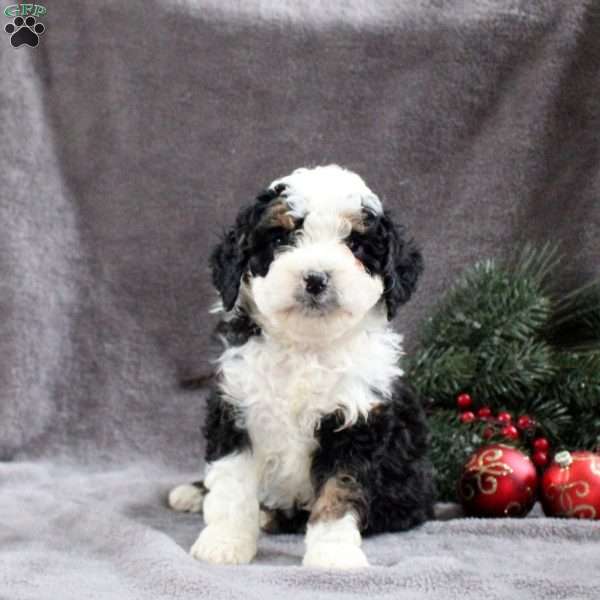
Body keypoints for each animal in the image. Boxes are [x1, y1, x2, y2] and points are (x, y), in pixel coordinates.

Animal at [168, 166, 432, 568]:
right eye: (280, 238)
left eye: (355, 245)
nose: (316, 278)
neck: (306, 346)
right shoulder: (235, 409)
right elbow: (231, 484)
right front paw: (225, 542)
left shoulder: (356, 422)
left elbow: (339, 492)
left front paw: (333, 554)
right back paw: (193, 493)